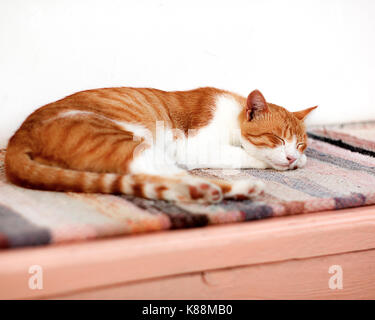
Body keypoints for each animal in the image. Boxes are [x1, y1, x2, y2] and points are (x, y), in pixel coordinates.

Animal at [5, 86, 318, 204]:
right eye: (277, 138)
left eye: (301, 144)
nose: (292, 157)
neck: (233, 112)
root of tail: (18, 135)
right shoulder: (193, 146)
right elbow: (246, 154)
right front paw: (275, 162)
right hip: (128, 142)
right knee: (154, 174)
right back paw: (221, 188)